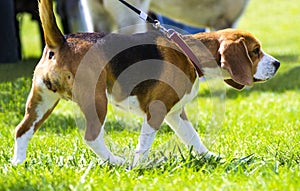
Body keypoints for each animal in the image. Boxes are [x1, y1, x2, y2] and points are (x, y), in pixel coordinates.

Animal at [11, 0, 278, 166]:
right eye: (255, 51)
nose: (276, 64)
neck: (189, 53)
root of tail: (62, 41)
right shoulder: (157, 110)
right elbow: (145, 143)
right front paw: (140, 166)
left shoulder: (175, 113)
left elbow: (193, 138)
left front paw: (210, 157)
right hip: (96, 100)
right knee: (91, 137)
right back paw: (115, 161)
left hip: (41, 102)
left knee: (22, 130)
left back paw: (17, 164)